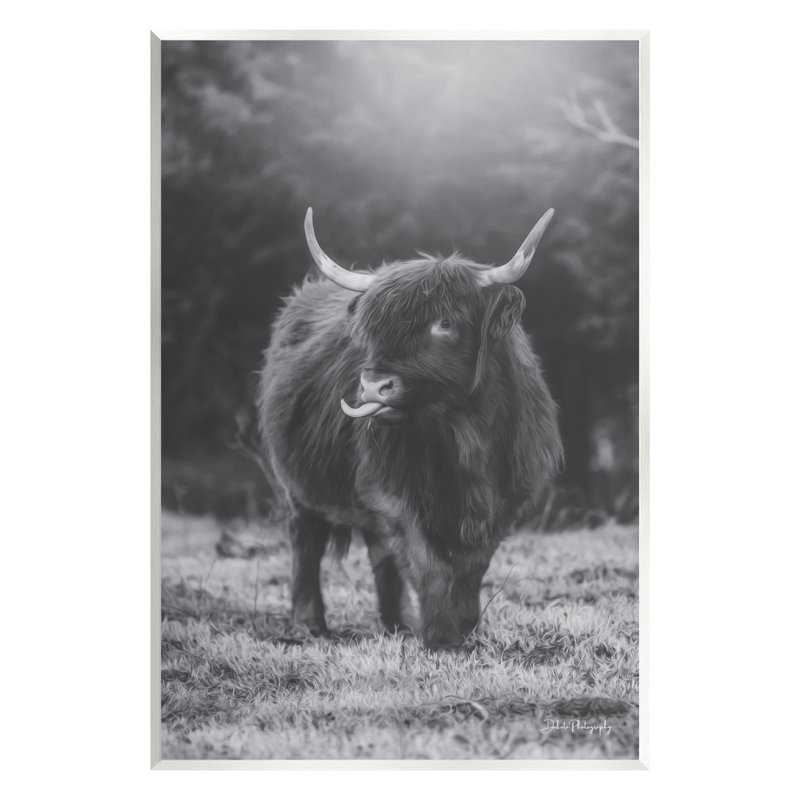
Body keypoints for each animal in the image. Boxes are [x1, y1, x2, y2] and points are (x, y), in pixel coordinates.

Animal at [258, 208, 563, 650]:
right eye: (373, 328)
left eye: (445, 322)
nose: (372, 386)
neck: (463, 436)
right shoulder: (390, 490)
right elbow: (426, 561)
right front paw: (440, 636)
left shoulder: (507, 498)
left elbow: (472, 565)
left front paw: (465, 628)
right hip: (296, 484)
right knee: (306, 541)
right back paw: (309, 623)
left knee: (379, 552)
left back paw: (396, 622)